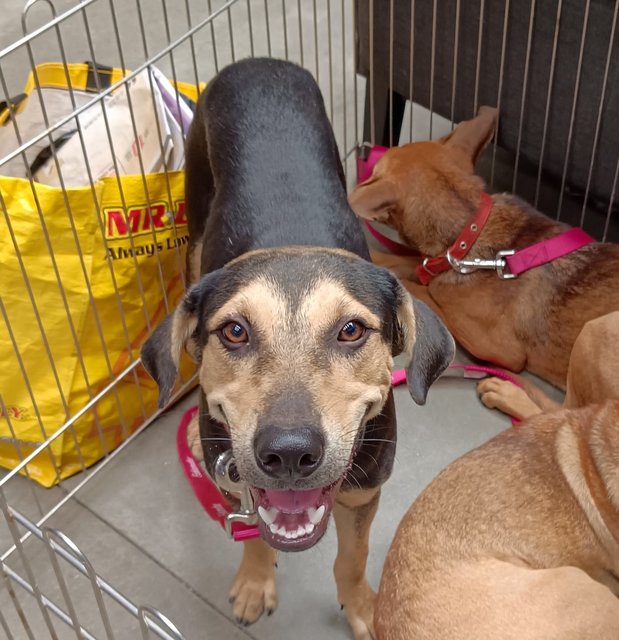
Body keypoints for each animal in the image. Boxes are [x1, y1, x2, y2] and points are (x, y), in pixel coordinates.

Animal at [139, 57, 456, 636]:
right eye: (234, 331)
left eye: (351, 330)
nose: (288, 452)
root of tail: (256, 62)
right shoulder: (237, 481)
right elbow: (254, 533)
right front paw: (253, 583)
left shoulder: (364, 491)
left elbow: (351, 557)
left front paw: (362, 608)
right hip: (195, 230)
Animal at [348, 107, 619, 418]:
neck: (471, 229)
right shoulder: (433, 262)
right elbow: (407, 263)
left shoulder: (496, 346)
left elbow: (426, 290)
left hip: (597, 330)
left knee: (567, 412)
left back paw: (508, 392)